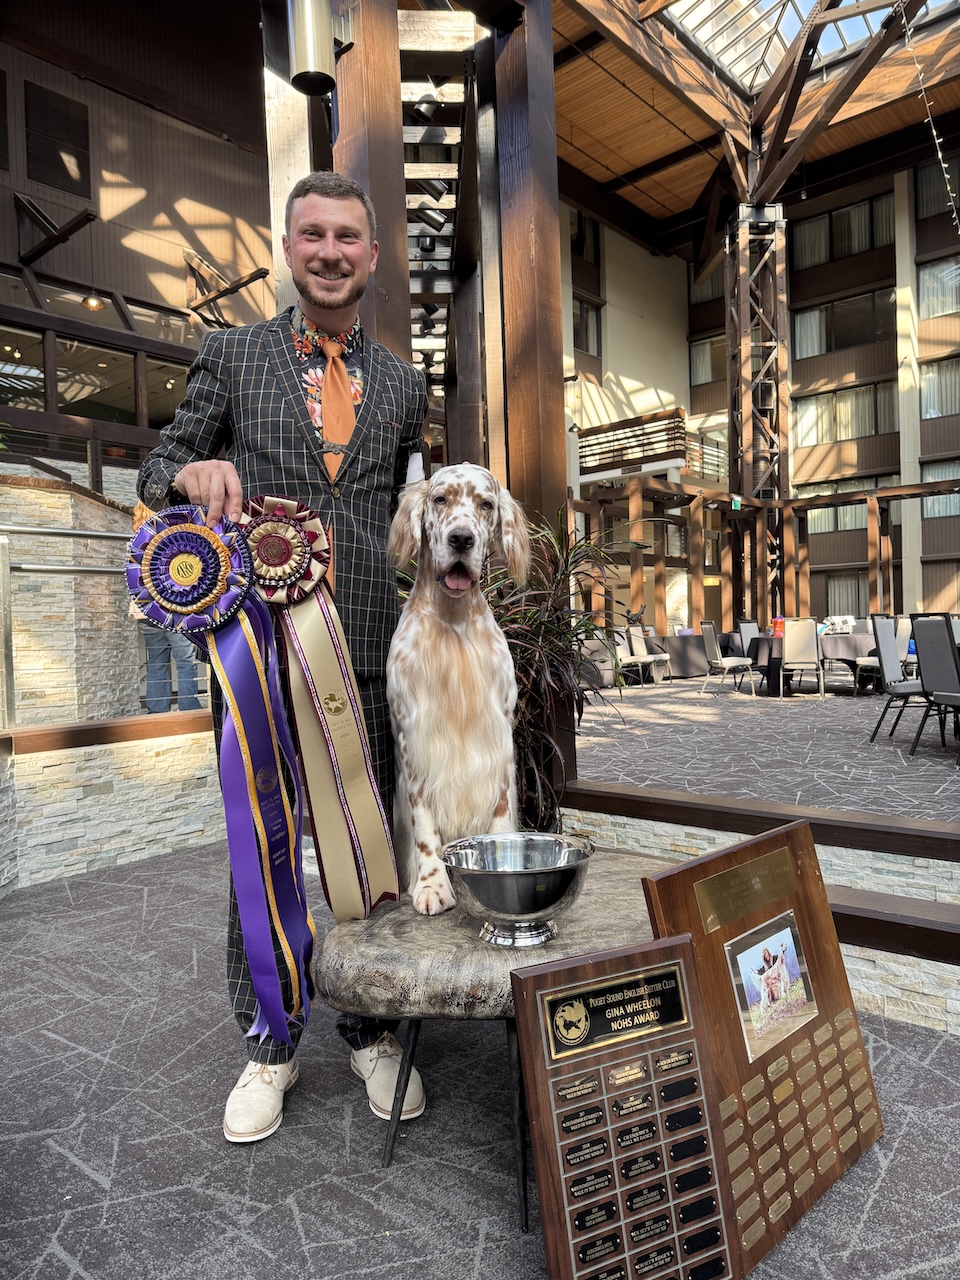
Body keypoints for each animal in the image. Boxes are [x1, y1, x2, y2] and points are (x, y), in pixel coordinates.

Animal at [386, 463, 531, 915]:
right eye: (439, 499)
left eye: (485, 504)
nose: (461, 539)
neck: (453, 621)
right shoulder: (412, 738)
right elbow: (425, 828)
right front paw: (432, 885)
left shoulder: (500, 733)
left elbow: (500, 808)